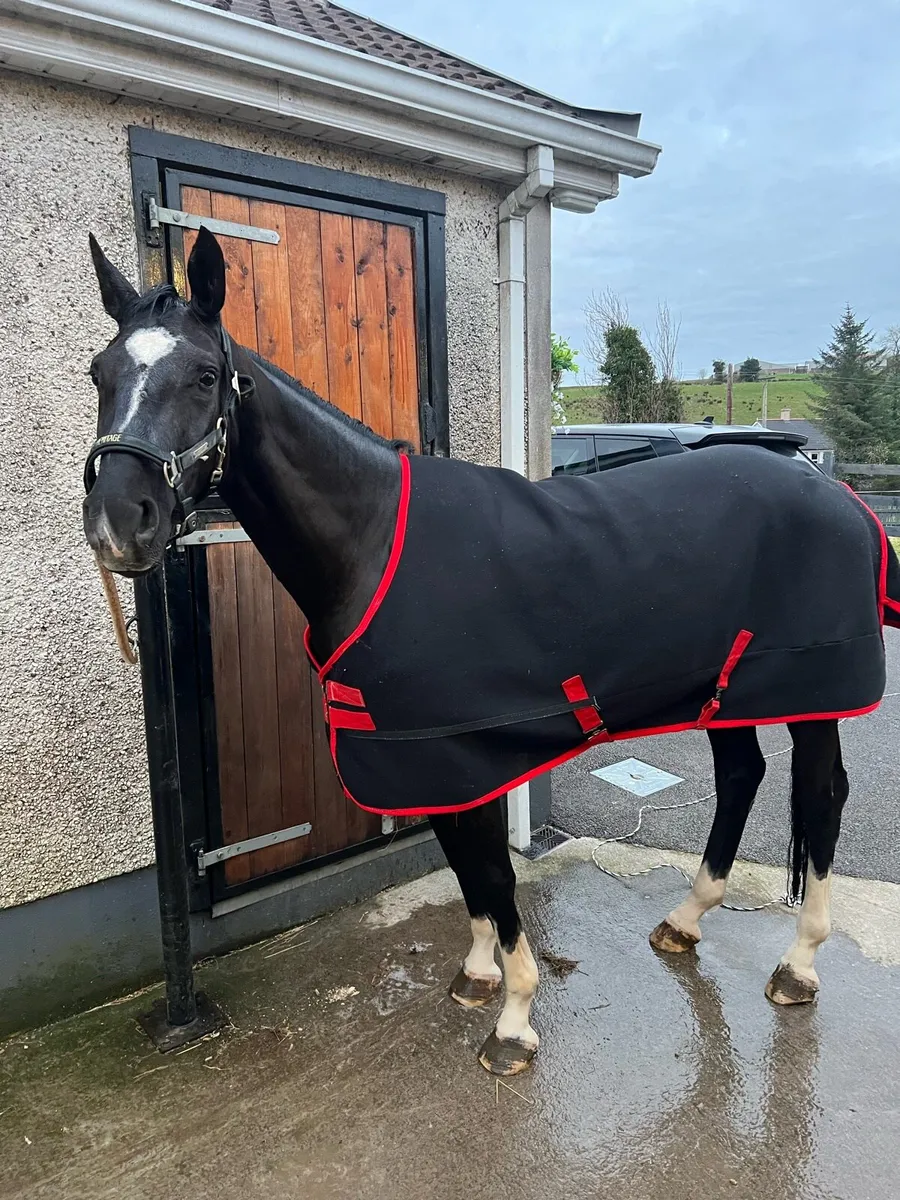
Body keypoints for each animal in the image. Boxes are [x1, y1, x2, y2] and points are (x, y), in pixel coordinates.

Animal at [82, 227, 900, 1076]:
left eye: (205, 376)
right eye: (99, 373)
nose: (120, 521)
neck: (373, 540)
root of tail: (836, 494)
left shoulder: (461, 747)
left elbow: (494, 876)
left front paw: (514, 1020)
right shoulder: (422, 750)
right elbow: (465, 867)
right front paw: (477, 976)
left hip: (813, 695)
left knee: (822, 795)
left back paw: (798, 965)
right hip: (724, 688)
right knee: (742, 776)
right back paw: (685, 921)